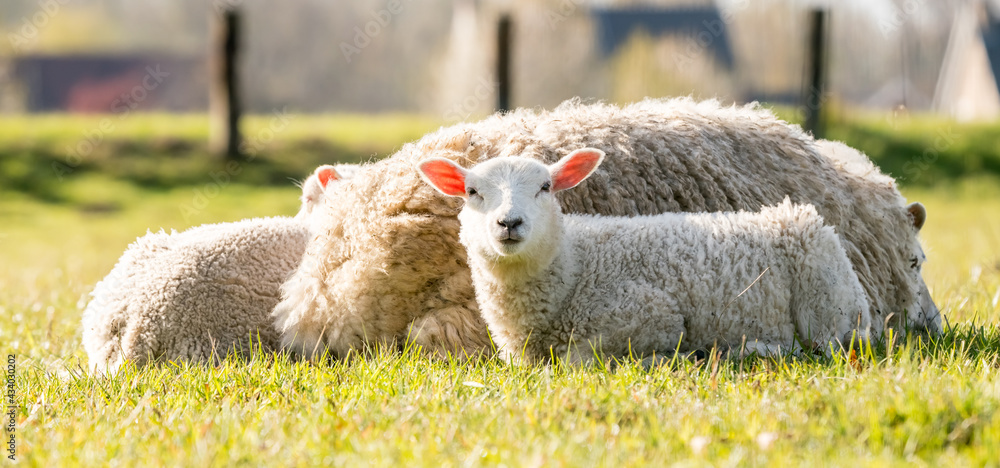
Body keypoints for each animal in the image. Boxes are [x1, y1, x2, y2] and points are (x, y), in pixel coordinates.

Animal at [417, 149, 872, 362]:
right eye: (472, 192)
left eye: (545, 187)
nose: (509, 223)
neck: (574, 266)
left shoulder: (653, 315)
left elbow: (577, 360)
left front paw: (671, 358)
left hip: (827, 304)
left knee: (828, 347)